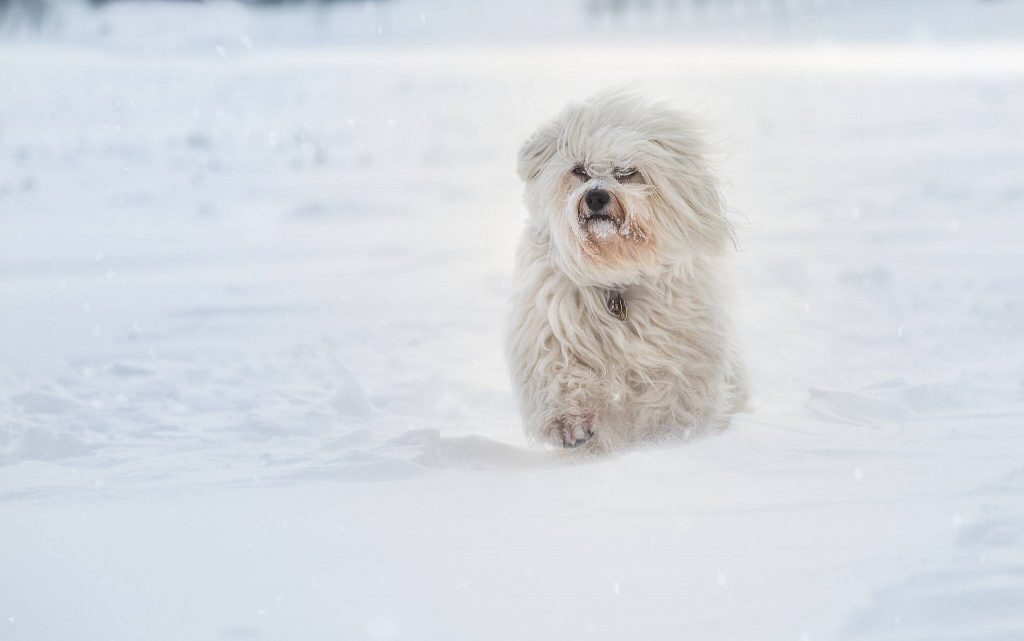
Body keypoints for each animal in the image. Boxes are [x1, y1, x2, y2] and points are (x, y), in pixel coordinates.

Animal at [501, 88, 745, 448]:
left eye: (628, 172)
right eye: (579, 170)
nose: (596, 197)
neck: (615, 276)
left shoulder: (682, 348)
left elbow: (673, 395)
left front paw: (664, 439)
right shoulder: (552, 324)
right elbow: (561, 372)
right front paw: (572, 425)